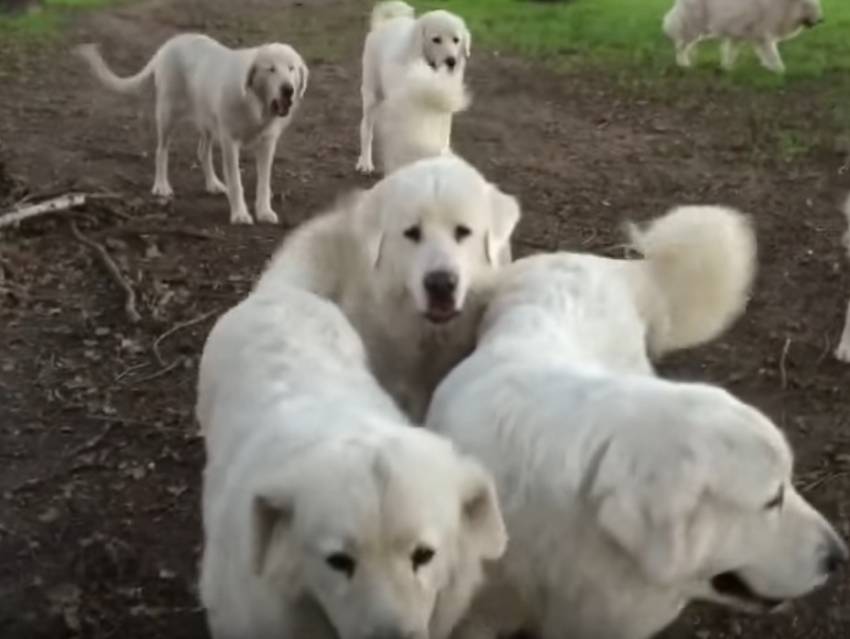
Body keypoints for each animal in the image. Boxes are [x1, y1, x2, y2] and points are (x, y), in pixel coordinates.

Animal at [352, 1, 468, 174]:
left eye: (456, 40)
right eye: (436, 39)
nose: (451, 61)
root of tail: (386, 22)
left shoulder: (443, 112)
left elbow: (441, 140)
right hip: (372, 96)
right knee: (366, 129)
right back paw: (365, 162)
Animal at [664, 0, 820, 73]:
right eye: (810, 7)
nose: (821, 20)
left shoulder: (738, 36)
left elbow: (730, 53)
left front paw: (726, 68)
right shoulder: (763, 36)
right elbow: (773, 55)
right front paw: (780, 71)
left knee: (683, 45)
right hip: (693, 27)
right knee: (681, 46)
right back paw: (683, 64)